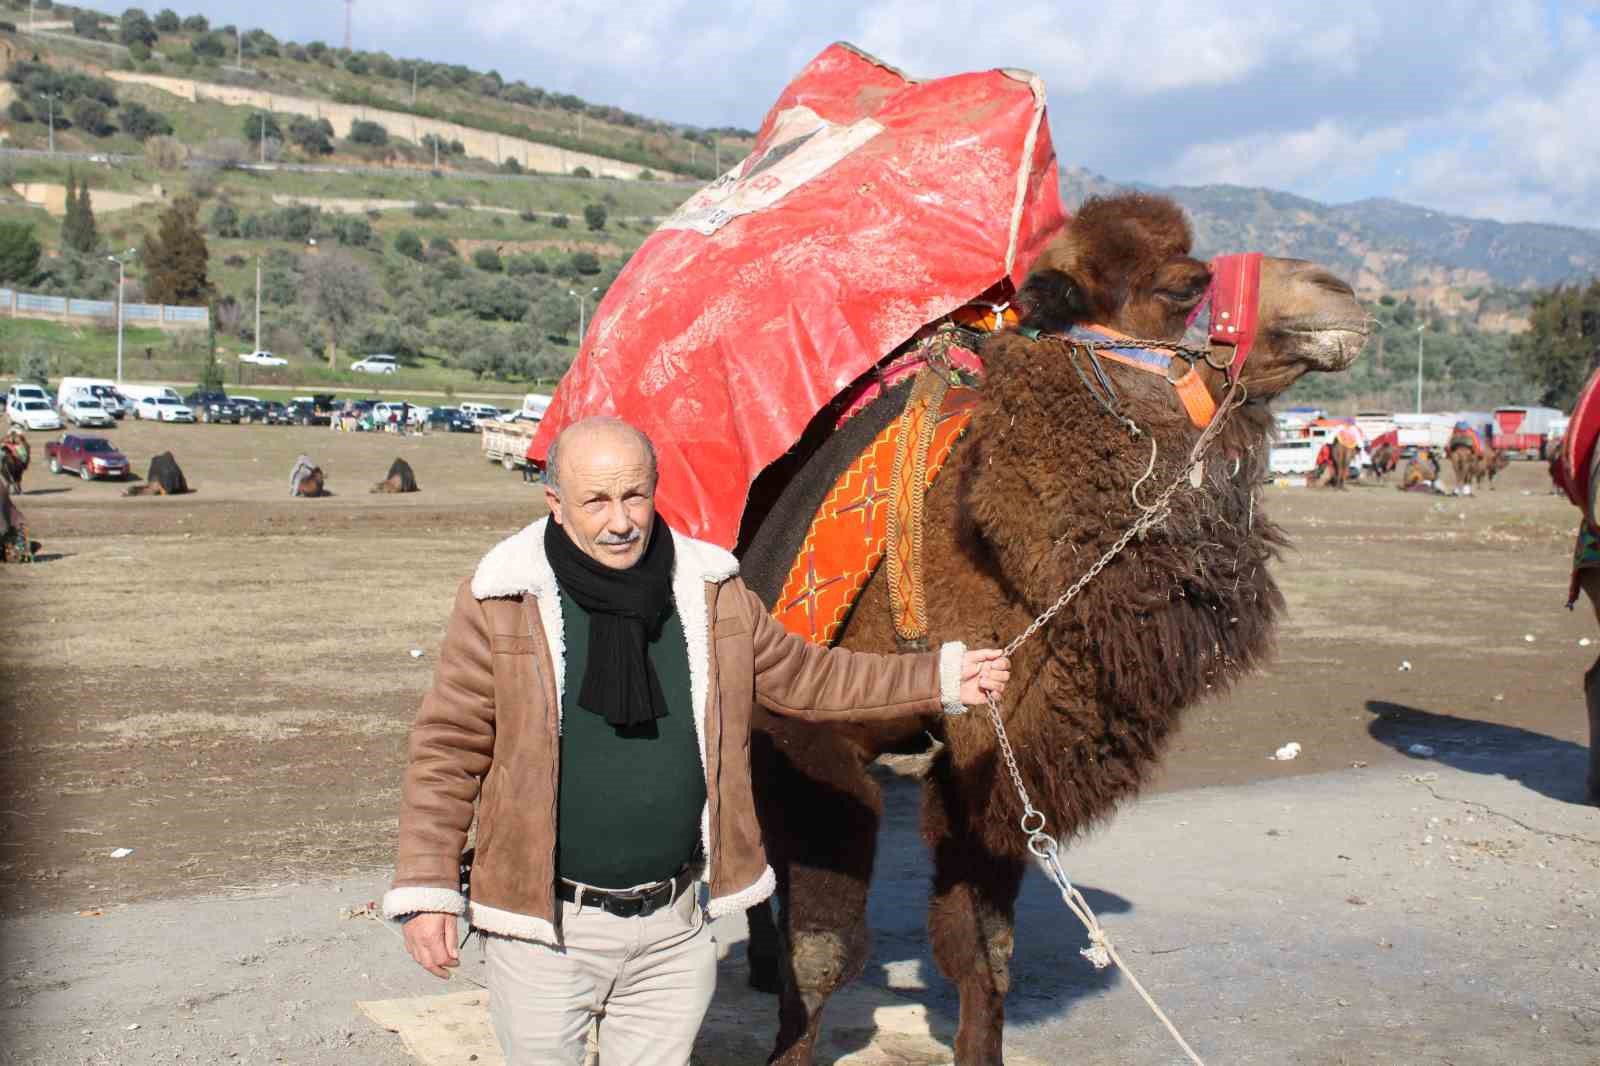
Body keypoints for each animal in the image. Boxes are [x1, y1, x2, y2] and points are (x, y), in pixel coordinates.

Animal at [736, 192, 1363, 1062]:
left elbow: (984, 948)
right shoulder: (806, 723)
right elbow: (824, 951)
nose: (1340, 295)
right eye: (1186, 283)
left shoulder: (996, 751)